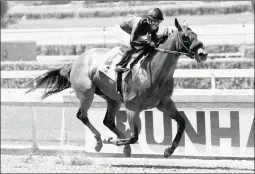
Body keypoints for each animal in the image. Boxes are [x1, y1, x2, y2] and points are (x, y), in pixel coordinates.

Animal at [27, 18, 207, 158]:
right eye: (185, 37)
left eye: (196, 35)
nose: (203, 54)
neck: (154, 72)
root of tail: (77, 60)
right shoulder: (132, 107)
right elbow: (134, 136)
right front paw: (112, 140)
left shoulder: (165, 103)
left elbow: (182, 123)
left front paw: (169, 150)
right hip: (87, 94)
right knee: (82, 116)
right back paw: (100, 141)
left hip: (112, 98)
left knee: (107, 121)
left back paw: (121, 146)